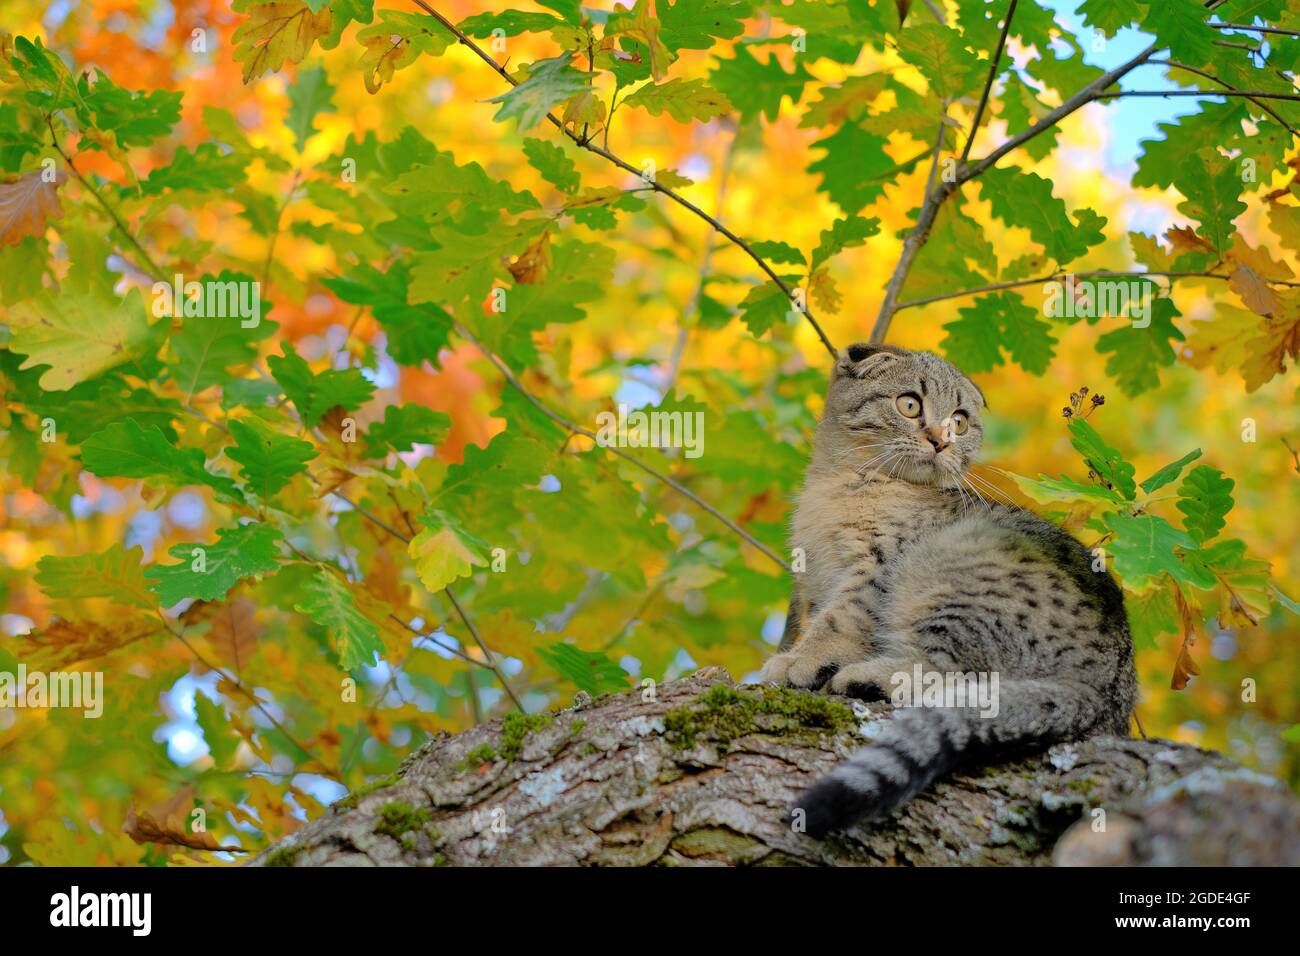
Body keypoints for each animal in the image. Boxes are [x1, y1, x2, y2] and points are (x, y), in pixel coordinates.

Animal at [759, 345, 1138, 837]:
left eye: (959, 420)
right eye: (909, 404)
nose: (941, 440)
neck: (844, 483)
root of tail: (1107, 694)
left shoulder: (876, 568)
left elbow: (838, 622)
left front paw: (799, 661)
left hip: (946, 571)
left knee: (955, 675)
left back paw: (868, 677)